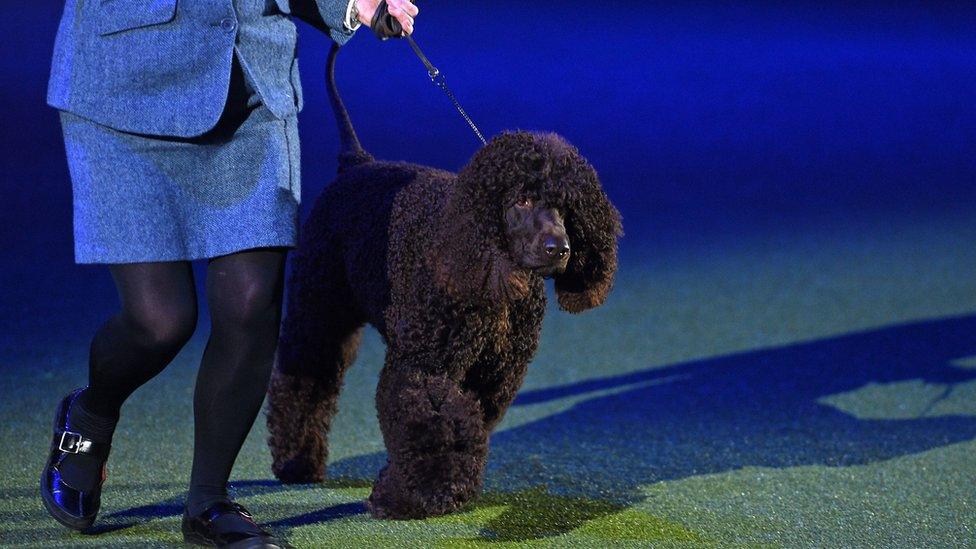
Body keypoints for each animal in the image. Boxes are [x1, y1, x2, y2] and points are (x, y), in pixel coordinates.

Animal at [264, 44, 620, 520]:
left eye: (567, 207)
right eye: (522, 200)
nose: (558, 248)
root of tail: (356, 164)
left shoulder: (494, 376)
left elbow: (466, 425)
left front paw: (442, 488)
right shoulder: (423, 366)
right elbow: (430, 425)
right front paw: (412, 495)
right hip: (317, 309)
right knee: (302, 377)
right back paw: (295, 461)